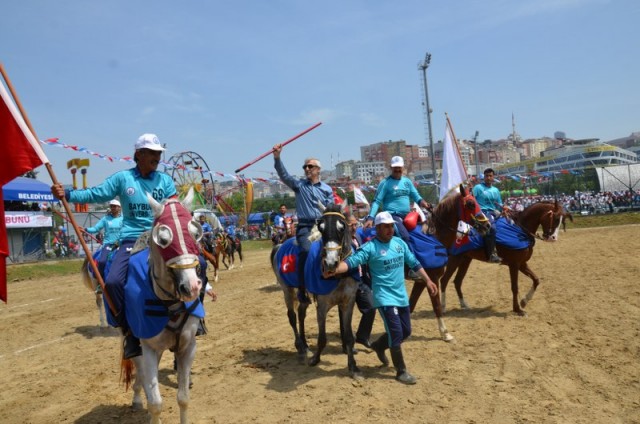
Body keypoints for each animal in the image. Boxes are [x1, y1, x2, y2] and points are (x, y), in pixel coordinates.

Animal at [408, 184, 492, 340]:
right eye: (470, 204)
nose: (487, 225)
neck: (433, 237)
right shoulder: (432, 278)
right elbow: (436, 305)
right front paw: (445, 333)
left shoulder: (421, 281)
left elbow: (411, 305)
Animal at [440, 199, 568, 314]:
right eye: (556, 219)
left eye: (562, 219)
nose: (553, 238)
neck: (519, 230)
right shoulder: (514, 265)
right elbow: (515, 287)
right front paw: (517, 309)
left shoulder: (522, 264)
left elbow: (536, 280)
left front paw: (524, 301)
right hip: (454, 259)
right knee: (444, 280)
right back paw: (443, 308)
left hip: (465, 260)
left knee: (457, 281)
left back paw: (464, 305)